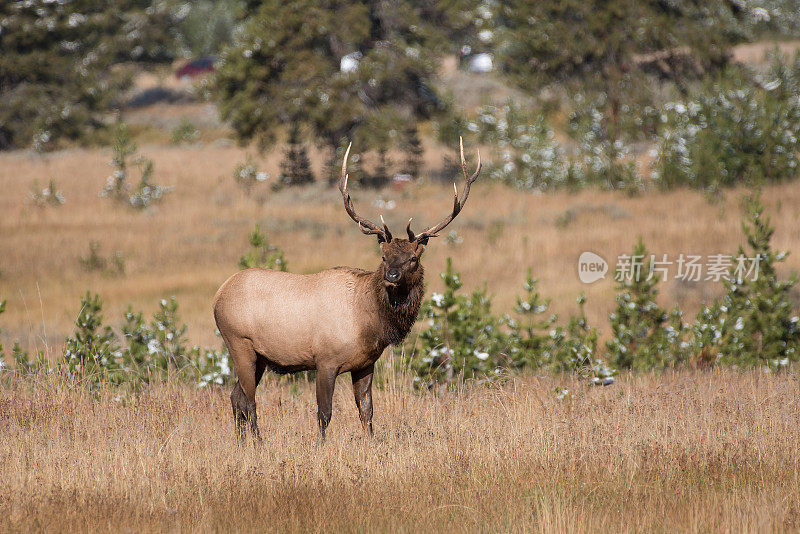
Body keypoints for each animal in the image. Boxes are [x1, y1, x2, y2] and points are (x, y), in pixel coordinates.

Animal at [212, 140, 482, 442]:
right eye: (384, 256)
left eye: (413, 258)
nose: (391, 276)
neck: (370, 323)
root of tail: (219, 295)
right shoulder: (325, 360)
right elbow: (324, 413)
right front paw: (321, 446)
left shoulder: (365, 364)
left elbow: (367, 410)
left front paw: (372, 443)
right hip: (239, 343)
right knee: (249, 400)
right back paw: (258, 442)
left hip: (259, 356)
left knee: (235, 396)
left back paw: (242, 443)